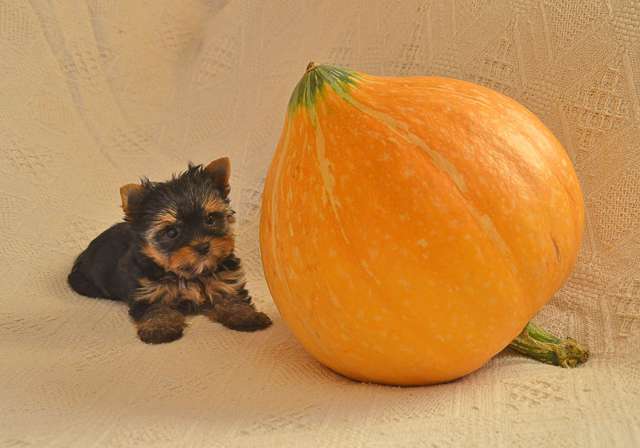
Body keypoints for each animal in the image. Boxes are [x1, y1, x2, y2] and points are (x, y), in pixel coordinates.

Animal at [66, 158, 272, 344]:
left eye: (211, 219)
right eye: (172, 232)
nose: (203, 246)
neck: (189, 274)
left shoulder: (225, 278)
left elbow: (232, 296)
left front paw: (245, 316)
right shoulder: (147, 291)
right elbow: (157, 308)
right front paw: (160, 328)